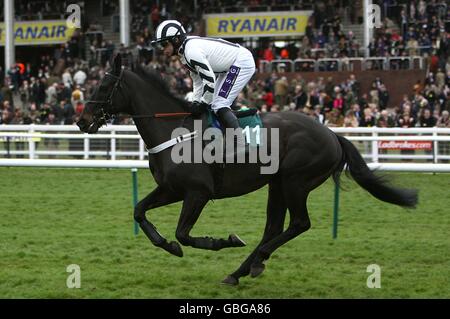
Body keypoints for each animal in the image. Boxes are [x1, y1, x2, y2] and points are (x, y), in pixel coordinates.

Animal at [75, 53, 416, 286]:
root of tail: (333, 135)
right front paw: (167, 245)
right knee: (274, 227)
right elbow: (139, 211)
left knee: (299, 224)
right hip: (277, 184)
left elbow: (184, 233)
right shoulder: (171, 189)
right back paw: (241, 270)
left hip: (295, 181)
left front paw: (220, 241)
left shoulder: (198, 193)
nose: (81, 120)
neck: (174, 130)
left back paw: (255, 261)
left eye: (104, 85)